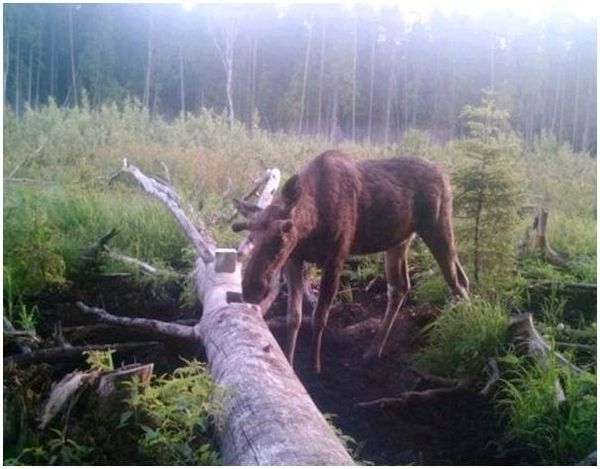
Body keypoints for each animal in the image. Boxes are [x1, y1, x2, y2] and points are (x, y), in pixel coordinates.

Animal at [234, 150, 468, 372]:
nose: (251, 288)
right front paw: (290, 364)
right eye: (251, 234)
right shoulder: (294, 259)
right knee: (400, 286)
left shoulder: (335, 258)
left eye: (284, 232)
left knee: (458, 281)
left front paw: (315, 366)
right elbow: (294, 317)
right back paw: (374, 349)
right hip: (399, 241)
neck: (312, 227)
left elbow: (320, 317)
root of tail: (445, 175)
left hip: (438, 225)